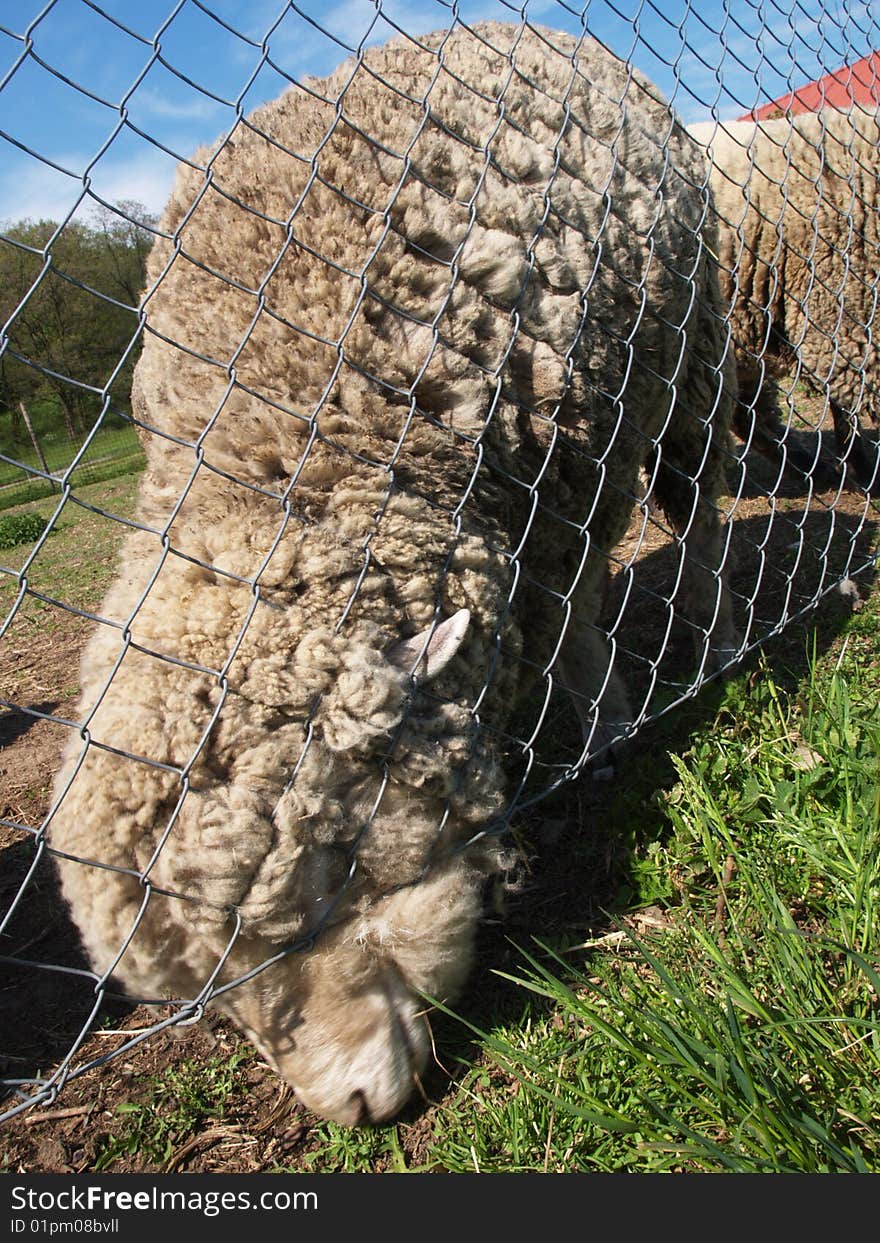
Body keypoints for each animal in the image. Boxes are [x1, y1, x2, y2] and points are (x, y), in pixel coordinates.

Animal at [46, 19, 735, 1128]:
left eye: (325, 890)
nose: (354, 1108)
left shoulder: (565, 474)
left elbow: (574, 622)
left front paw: (608, 728)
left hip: (687, 347)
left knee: (700, 496)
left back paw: (713, 622)